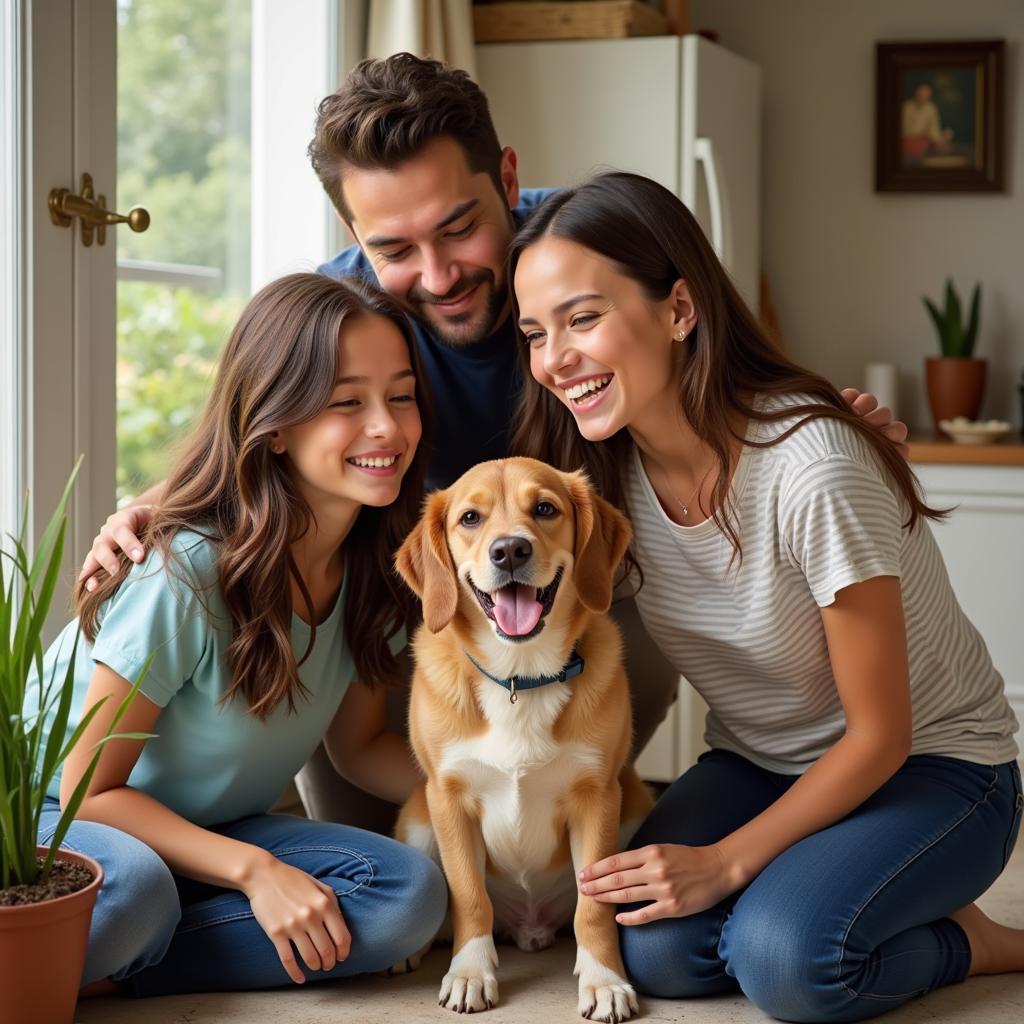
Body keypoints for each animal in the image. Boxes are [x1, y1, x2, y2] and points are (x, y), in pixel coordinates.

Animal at [395, 460, 651, 1019]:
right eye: (470, 518)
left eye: (545, 509)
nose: (509, 550)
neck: (519, 675)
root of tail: (530, 928)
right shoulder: (447, 798)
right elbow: (469, 897)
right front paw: (470, 973)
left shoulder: (597, 797)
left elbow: (593, 908)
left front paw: (603, 980)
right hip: (419, 823)